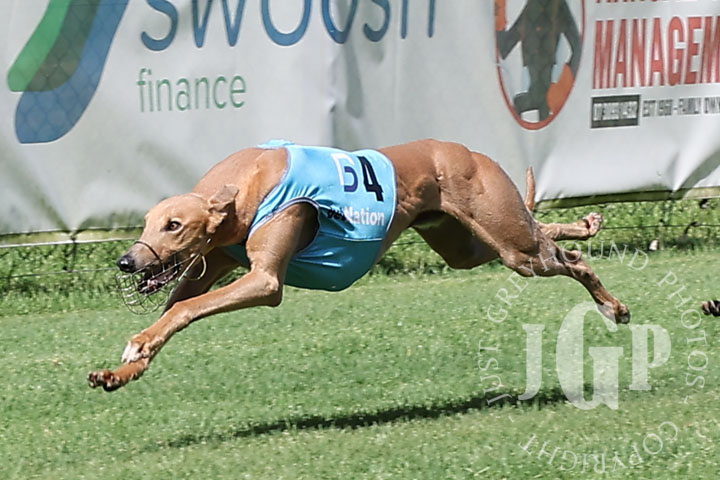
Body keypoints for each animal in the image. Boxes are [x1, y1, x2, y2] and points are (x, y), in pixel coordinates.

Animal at [88, 139, 630, 391]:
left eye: (174, 225)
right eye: (147, 223)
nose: (126, 261)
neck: (244, 192)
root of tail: (468, 151)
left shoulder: (264, 280)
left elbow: (183, 310)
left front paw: (134, 347)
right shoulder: (213, 262)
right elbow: (174, 311)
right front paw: (121, 371)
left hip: (515, 249)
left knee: (568, 260)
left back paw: (613, 305)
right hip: (469, 247)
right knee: (543, 231)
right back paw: (585, 224)